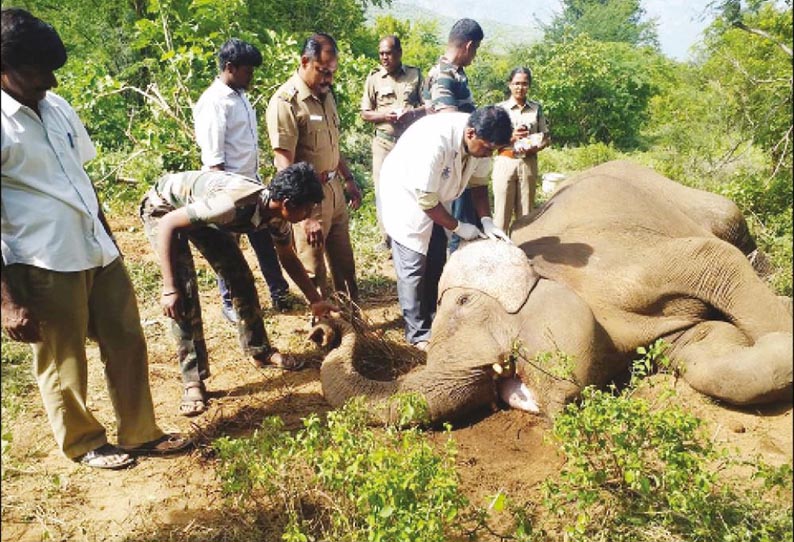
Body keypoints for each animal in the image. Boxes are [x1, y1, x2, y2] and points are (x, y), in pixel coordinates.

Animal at [312, 160, 788, 424]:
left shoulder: (621, 266)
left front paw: (782, 324)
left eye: (464, 302)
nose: (329, 321)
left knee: (729, 229)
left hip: (700, 202)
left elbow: (712, 259)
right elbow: (709, 356)